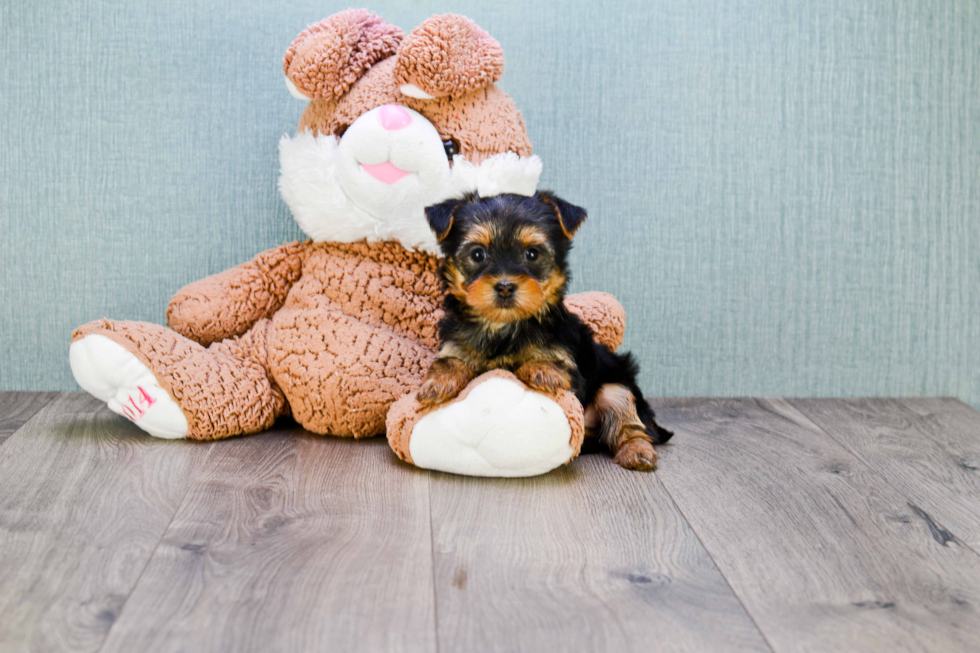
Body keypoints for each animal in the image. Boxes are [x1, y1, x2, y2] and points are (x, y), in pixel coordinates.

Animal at [418, 188, 668, 468]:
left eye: (532, 254)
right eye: (478, 254)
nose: (505, 286)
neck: (503, 325)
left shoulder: (568, 360)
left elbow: (553, 361)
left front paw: (542, 369)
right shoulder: (456, 343)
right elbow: (450, 360)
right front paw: (437, 382)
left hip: (616, 382)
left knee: (628, 420)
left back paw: (637, 451)